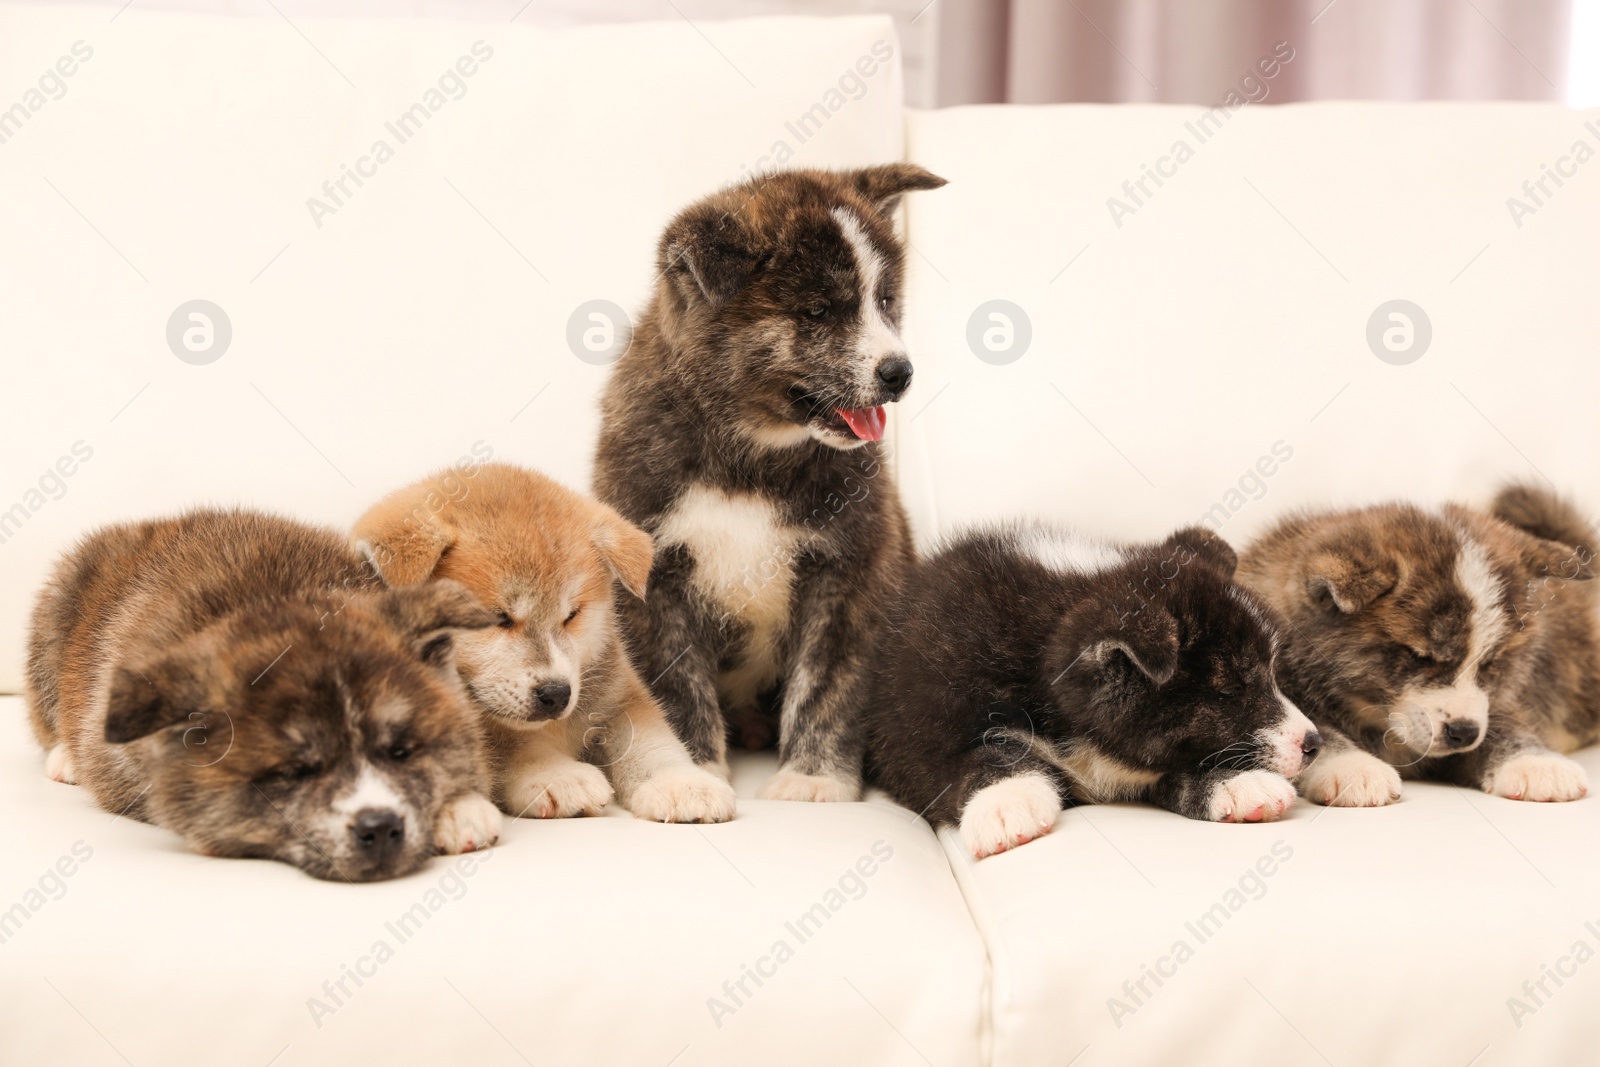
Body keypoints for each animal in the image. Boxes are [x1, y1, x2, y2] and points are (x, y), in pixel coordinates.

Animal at [25, 508, 499, 883]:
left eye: (401, 751)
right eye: (296, 772)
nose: (380, 827)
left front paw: (461, 807)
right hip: (54, 611)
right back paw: (65, 756)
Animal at [595, 164, 940, 799]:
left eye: (884, 302)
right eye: (817, 311)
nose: (899, 372)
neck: (751, 461)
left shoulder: (852, 570)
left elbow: (829, 682)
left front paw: (813, 778)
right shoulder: (653, 579)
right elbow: (674, 684)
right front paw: (692, 771)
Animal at [870, 524, 1318, 857]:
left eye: (1272, 676)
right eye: (1230, 692)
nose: (1314, 743)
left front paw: (1237, 783)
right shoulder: (922, 733)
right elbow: (979, 755)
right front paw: (1006, 800)